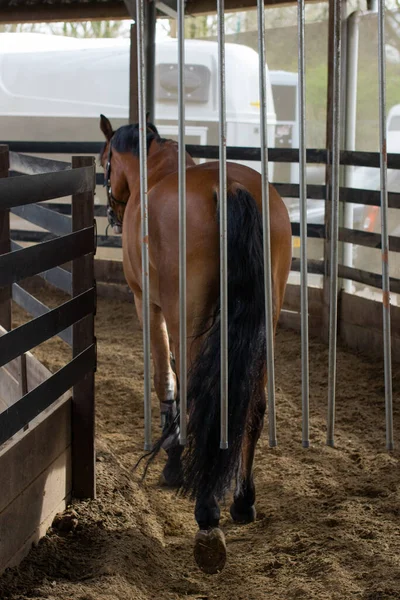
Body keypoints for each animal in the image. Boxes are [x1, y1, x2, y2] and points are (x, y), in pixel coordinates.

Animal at [99, 115, 290, 576]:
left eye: (105, 162)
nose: (111, 211)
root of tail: (231, 187)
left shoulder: (147, 304)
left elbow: (166, 380)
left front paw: (172, 460)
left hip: (186, 316)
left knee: (206, 401)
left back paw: (207, 519)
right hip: (265, 324)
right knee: (251, 408)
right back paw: (242, 501)